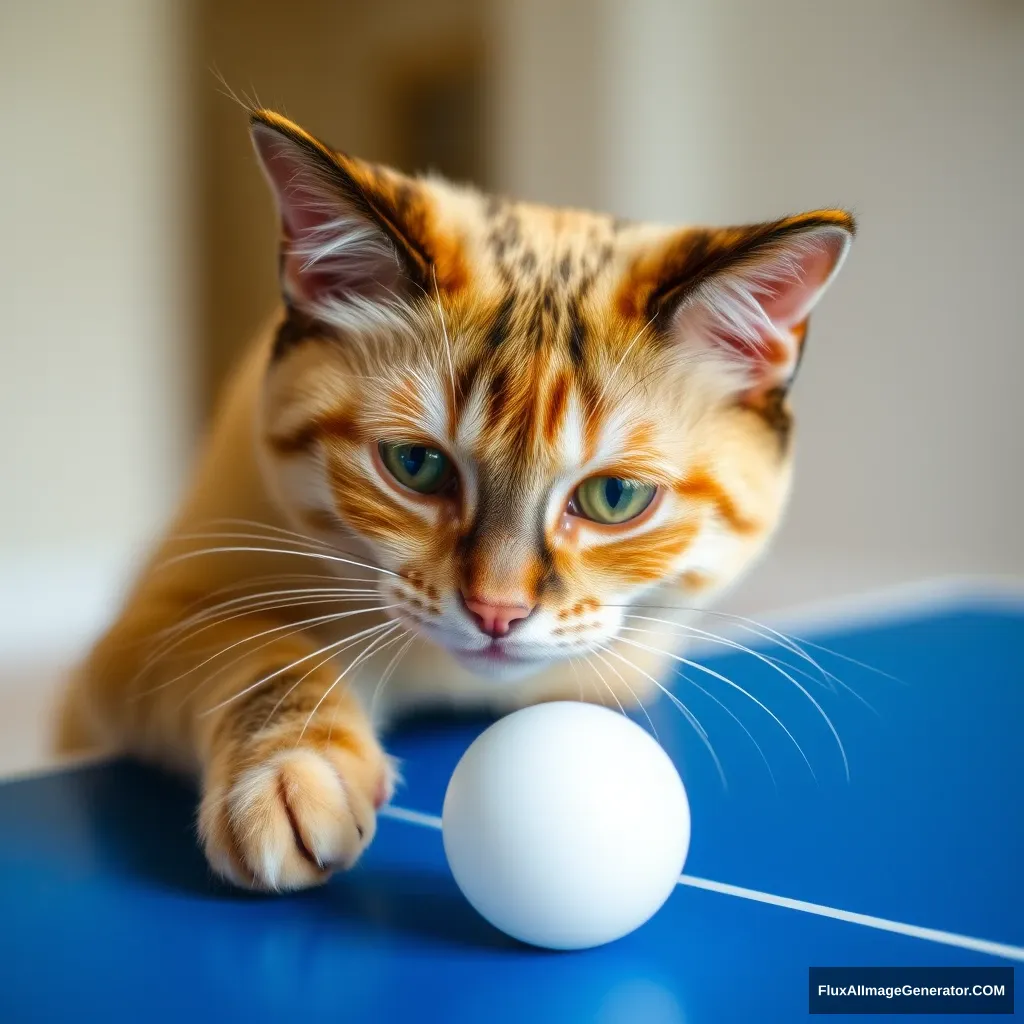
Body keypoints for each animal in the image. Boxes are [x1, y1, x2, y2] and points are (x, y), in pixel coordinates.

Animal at [58, 105, 856, 888]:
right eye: (415, 466)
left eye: (615, 498)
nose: (497, 613)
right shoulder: (150, 626)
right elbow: (269, 655)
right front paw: (295, 773)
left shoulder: (620, 673)